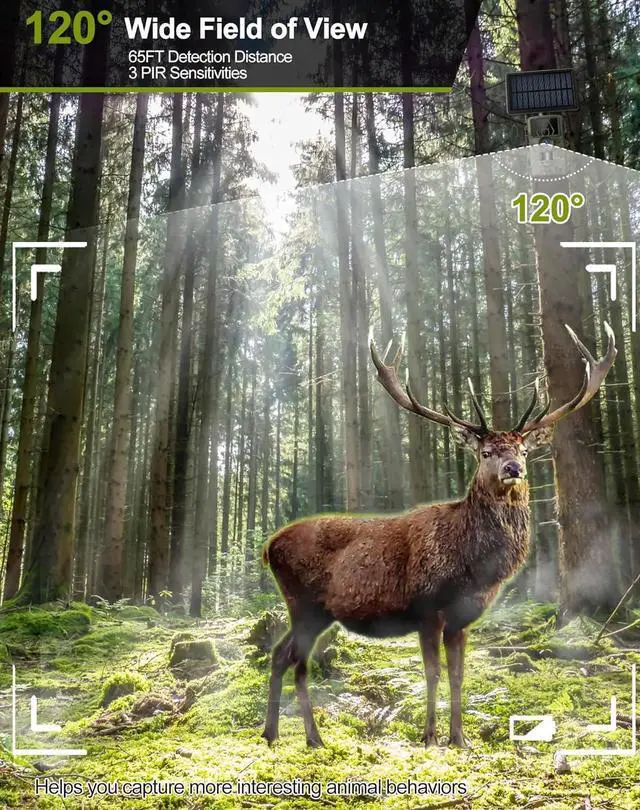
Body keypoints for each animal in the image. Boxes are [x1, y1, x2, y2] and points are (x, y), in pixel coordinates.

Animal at [261, 323, 616, 749]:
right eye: (485, 453)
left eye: (523, 451)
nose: (513, 469)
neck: (472, 567)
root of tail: (268, 546)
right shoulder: (427, 608)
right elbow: (431, 673)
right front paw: (430, 736)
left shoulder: (462, 619)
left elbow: (459, 675)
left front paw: (460, 738)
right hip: (303, 603)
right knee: (292, 659)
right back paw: (304, 736)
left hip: (315, 611)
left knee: (283, 656)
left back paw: (279, 734)